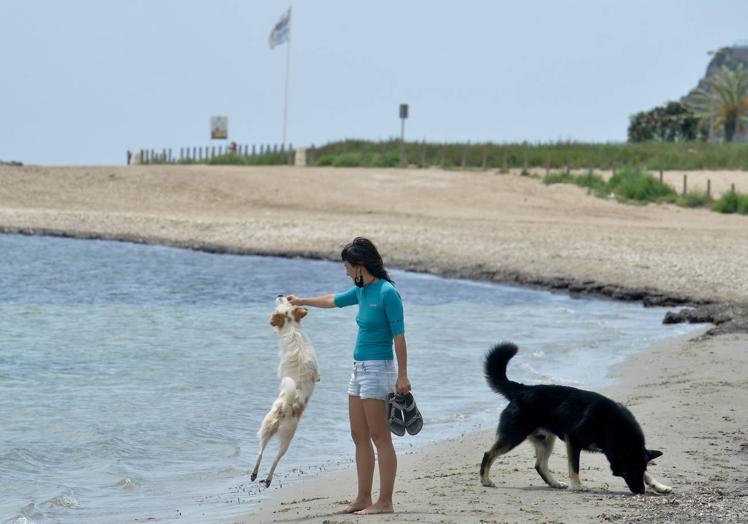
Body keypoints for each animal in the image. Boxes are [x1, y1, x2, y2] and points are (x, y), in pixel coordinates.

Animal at [253, 294, 320, 488]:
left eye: (286, 302)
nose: (281, 294)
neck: (292, 331)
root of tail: (285, 408)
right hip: (286, 438)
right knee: (274, 459)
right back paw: (266, 478)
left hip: (267, 429)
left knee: (261, 452)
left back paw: (256, 474)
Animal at [480, 342, 672, 494]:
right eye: (626, 472)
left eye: (641, 469)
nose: (640, 491)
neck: (612, 427)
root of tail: (522, 389)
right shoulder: (573, 440)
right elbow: (575, 466)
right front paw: (577, 485)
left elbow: (648, 473)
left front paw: (659, 485)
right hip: (515, 435)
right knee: (489, 454)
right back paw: (485, 480)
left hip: (545, 440)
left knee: (540, 465)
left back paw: (555, 483)